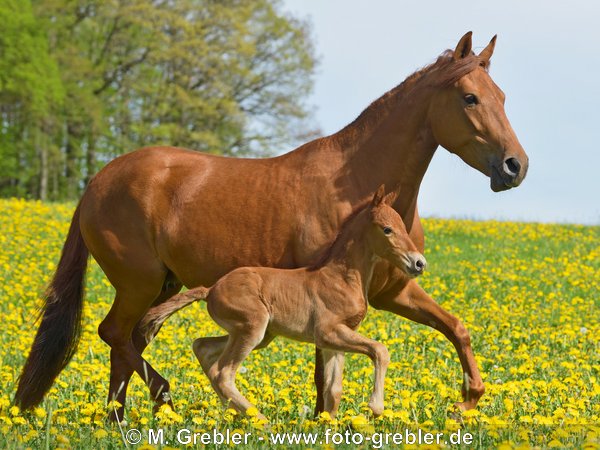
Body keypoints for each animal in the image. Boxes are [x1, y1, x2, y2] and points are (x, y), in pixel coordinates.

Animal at [191, 185, 422, 418]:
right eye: (387, 229)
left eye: (404, 226)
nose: (419, 263)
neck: (341, 278)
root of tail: (211, 289)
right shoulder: (327, 332)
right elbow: (380, 350)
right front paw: (375, 407)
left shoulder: (336, 338)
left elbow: (334, 389)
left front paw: (328, 422)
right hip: (252, 327)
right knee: (223, 373)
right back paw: (259, 419)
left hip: (256, 333)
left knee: (202, 347)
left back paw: (234, 413)